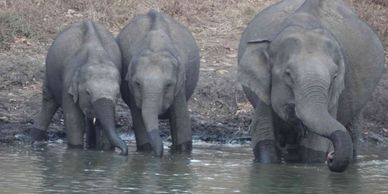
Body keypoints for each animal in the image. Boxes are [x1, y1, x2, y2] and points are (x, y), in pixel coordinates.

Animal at [30, 20, 127, 155]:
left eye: (117, 94)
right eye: (88, 93)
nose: (124, 152)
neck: (96, 58)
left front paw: (107, 151)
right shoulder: (68, 84)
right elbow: (74, 120)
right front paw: (76, 150)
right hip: (49, 72)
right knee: (48, 102)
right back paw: (33, 142)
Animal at [117, 9, 200, 157]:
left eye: (168, 85)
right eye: (138, 84)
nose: (158, 155)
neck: (155, 48)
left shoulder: (180, 83)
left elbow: (181, 117)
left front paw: (183, 152)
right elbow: (138, 118)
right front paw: (146, 151)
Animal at [236, 0, 384, 173]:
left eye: (334, 77)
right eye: (288, 74)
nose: (331, 156)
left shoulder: (334, 97)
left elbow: (315, 146)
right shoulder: (264, 89)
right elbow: (263, 136)